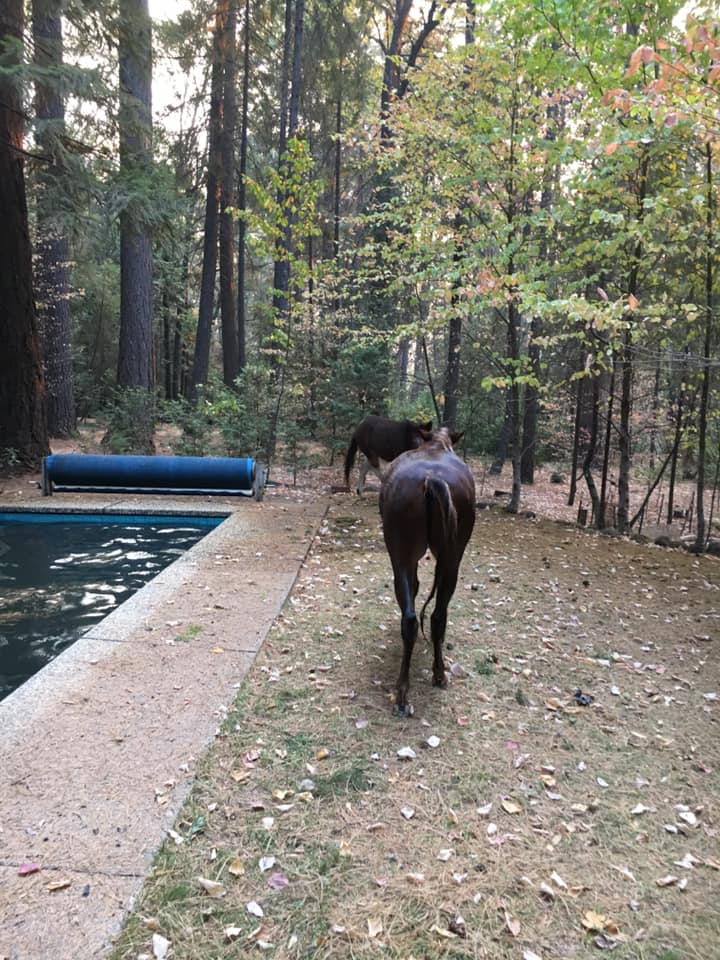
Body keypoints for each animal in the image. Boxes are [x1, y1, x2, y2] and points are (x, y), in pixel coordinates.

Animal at [379, 427, 476, 716]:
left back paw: (405, 690)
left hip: (403, 553)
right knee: (435, 615)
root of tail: (432, 480)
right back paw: (435, 675)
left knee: (415, 617)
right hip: (450, 556)